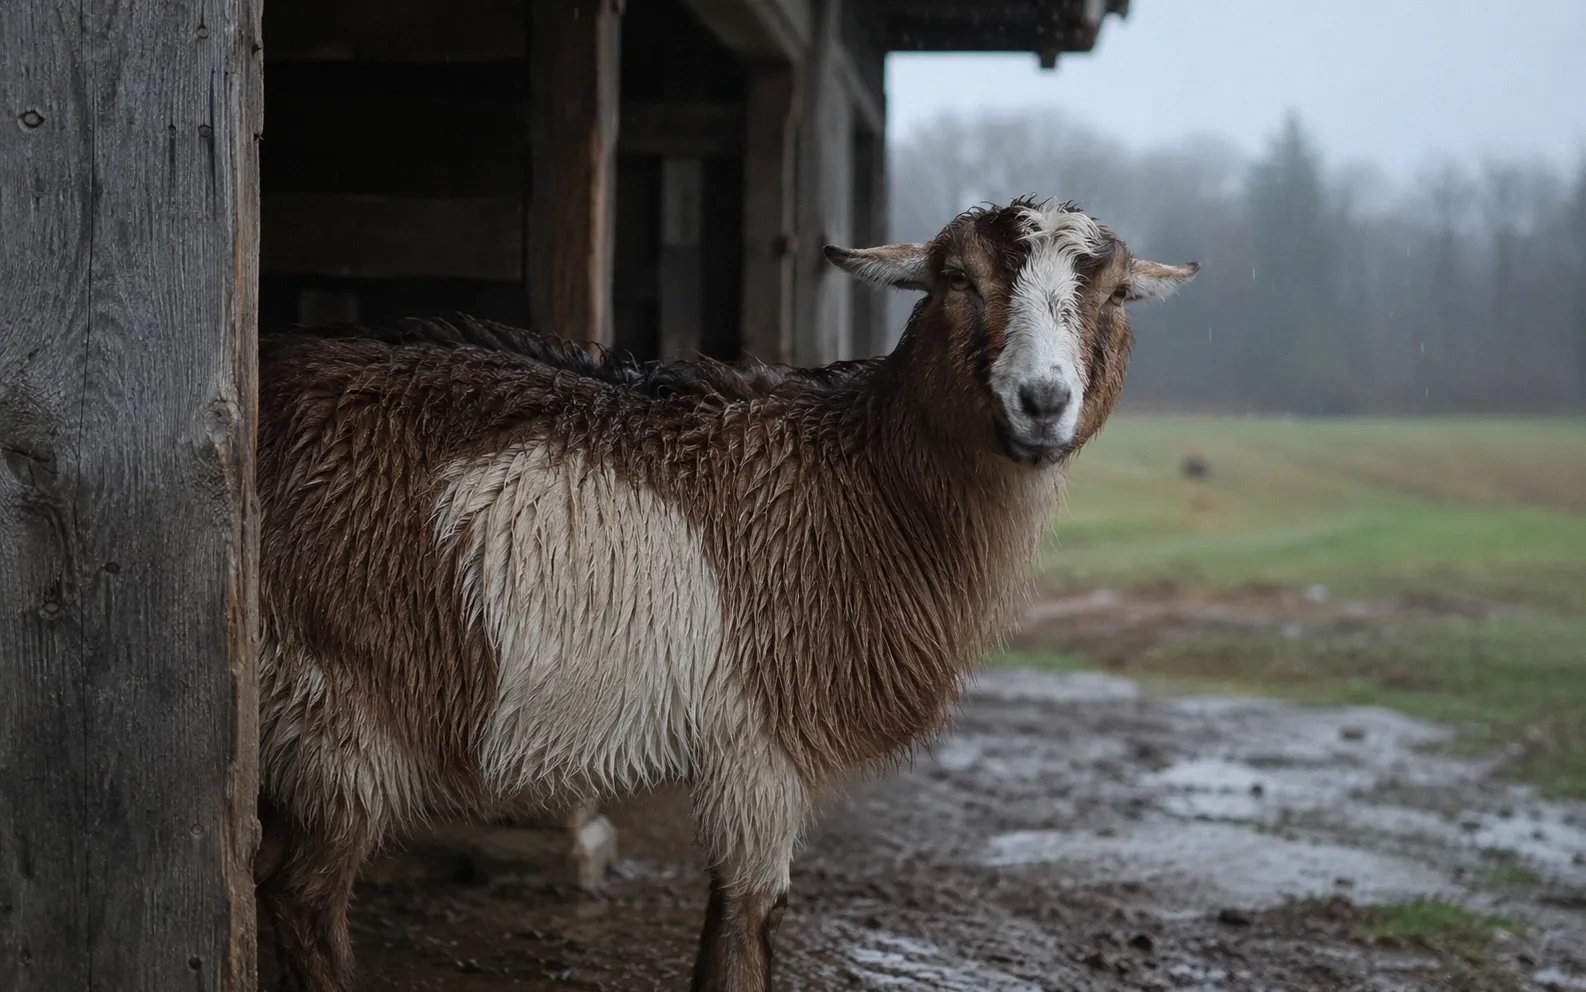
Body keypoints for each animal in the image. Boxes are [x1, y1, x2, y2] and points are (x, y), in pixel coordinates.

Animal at [253, 198, 1198, 991]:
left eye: (1115, 294)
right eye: (958, 278)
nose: (1042, 401)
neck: (857, 482)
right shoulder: (760, 741)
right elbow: (743, 929)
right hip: (334, 703)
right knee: (300, 895)